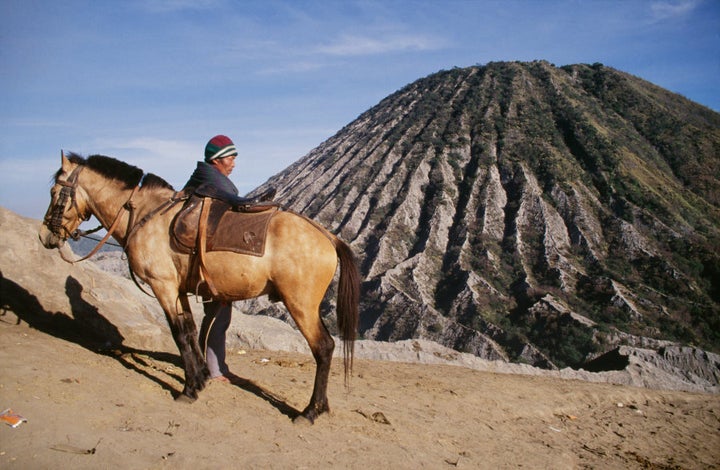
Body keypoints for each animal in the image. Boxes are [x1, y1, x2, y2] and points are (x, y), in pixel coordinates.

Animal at [38, 152, 358, 424]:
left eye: (54, 193)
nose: (44, 236)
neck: (144, 215)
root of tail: (327, 236)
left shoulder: (163, 287)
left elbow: (178, 334)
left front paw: (189, 388)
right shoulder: (180, 290)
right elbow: (191, 330)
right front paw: (202, 376)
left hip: (301, 305)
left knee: (323, 348)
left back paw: (310, 411)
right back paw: (321, 405)